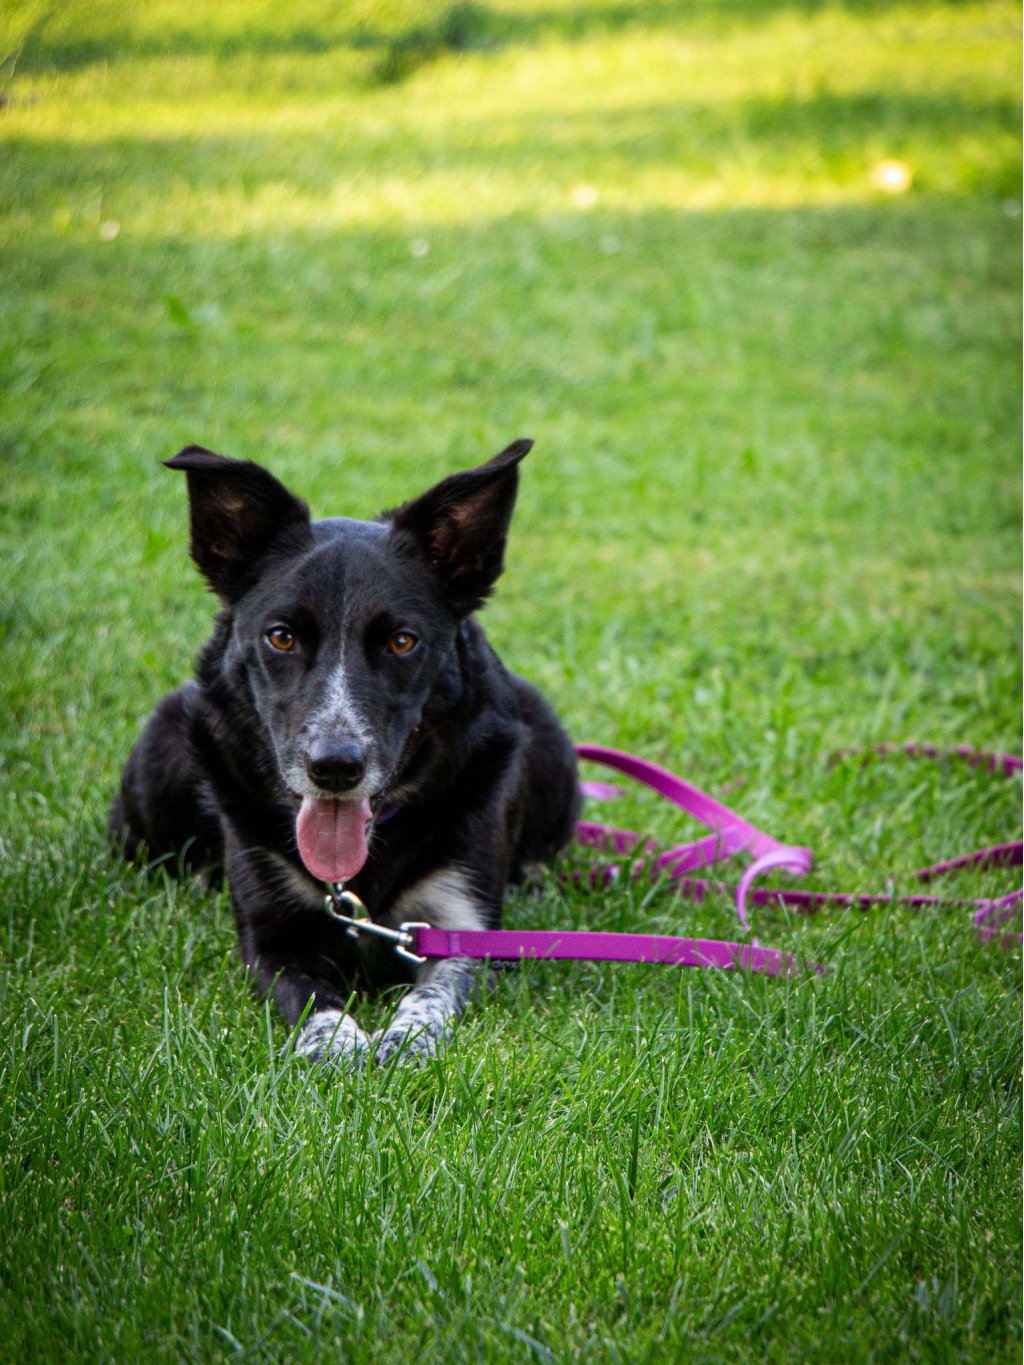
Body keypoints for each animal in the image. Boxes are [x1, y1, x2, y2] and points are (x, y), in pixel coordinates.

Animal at [111, 442, 581, 1059]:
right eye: (280, 637)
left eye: (402, 642)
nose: (335, 767)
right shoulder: (271, 939)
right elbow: (311, 998)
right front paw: (337, 1045)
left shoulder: (463, 926)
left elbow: (433, 995)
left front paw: (405, 1041)